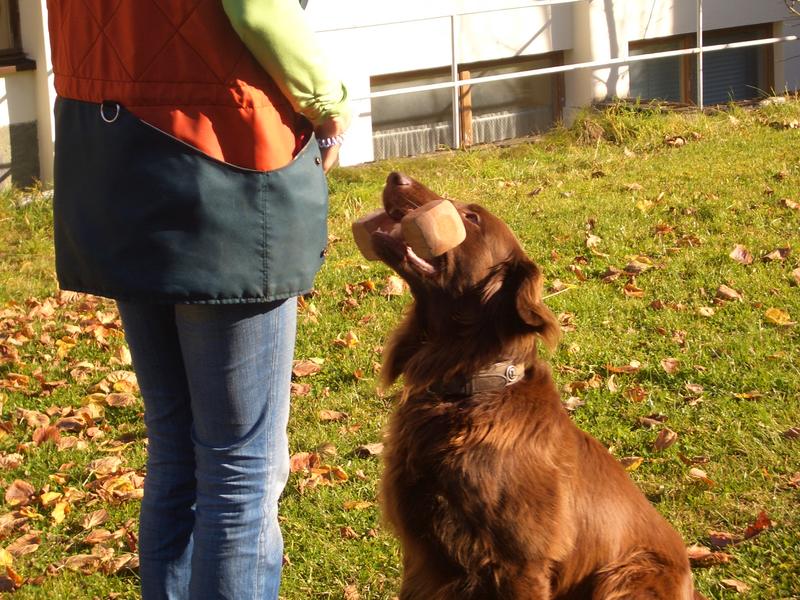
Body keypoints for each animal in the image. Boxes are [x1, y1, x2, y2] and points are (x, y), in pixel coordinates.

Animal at [368, 172, 704, 600]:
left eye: (472, 218)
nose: (396, 176)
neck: (470, 389)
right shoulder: (424, 557)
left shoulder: (519, 563)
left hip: (624, 576)